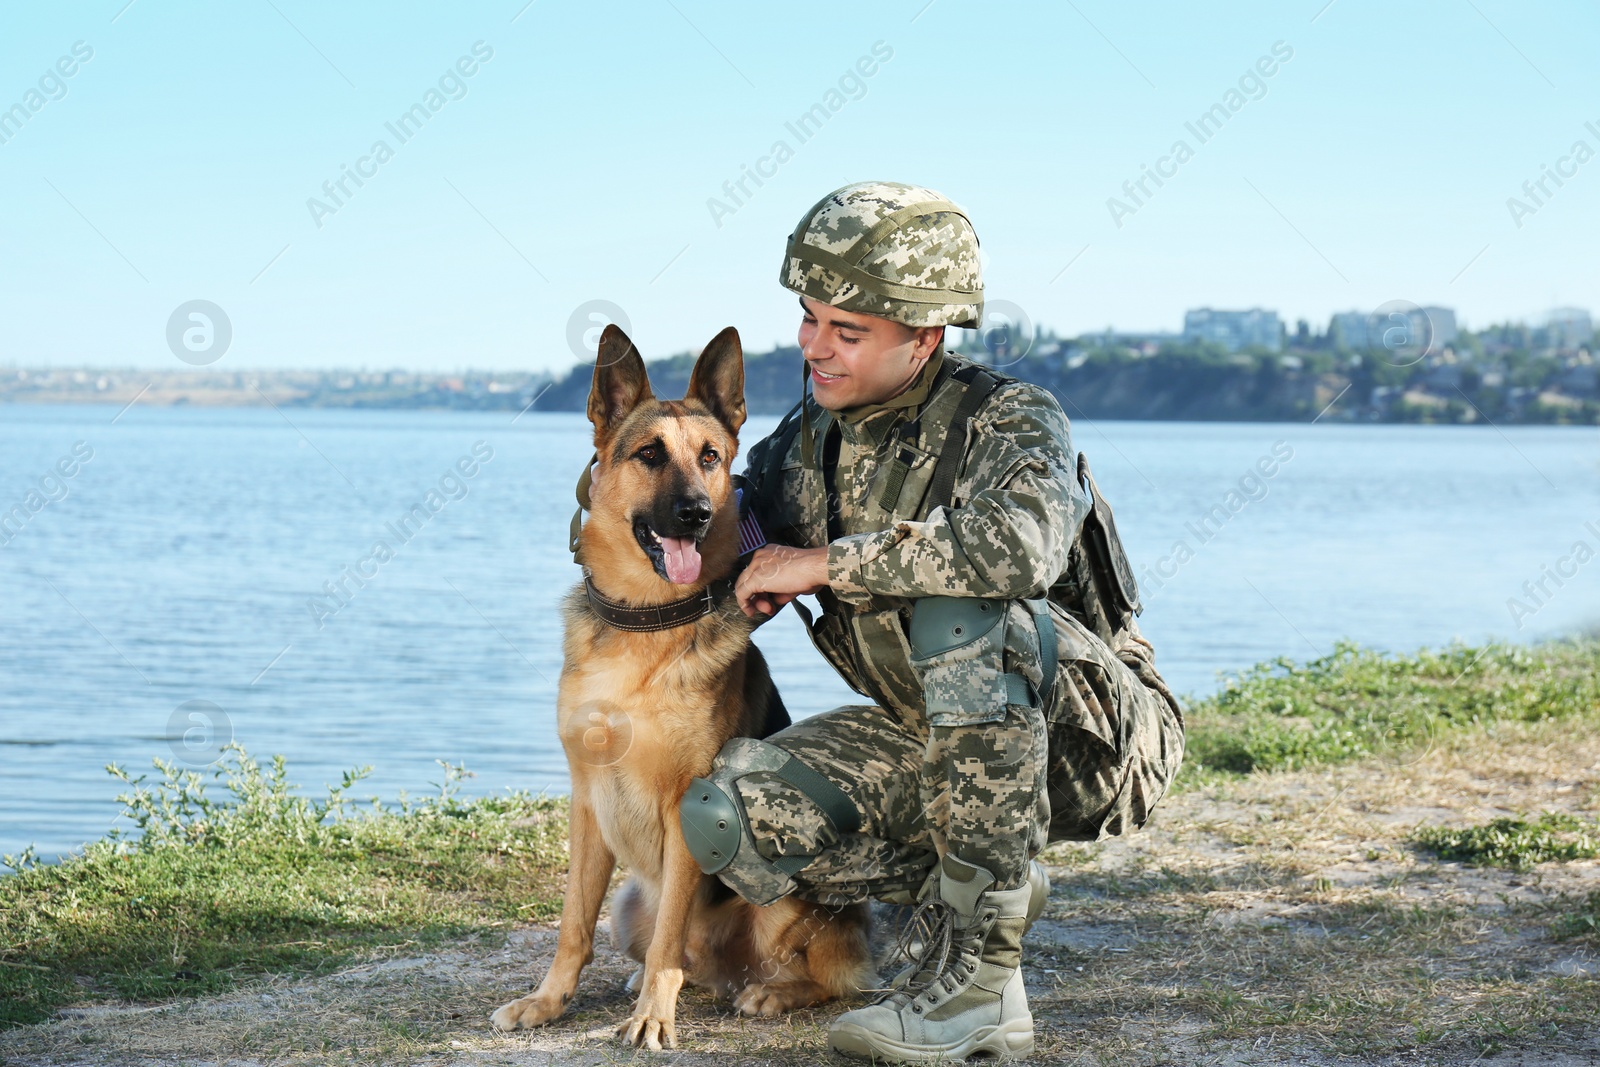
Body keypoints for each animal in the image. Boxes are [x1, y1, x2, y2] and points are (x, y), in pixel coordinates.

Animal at [499, 326, 876, 1049]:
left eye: (710, 457)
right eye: (650, 453)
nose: (697, 513)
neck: (647, 624)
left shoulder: (685, 809)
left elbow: (668, 940)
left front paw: (653, 1014)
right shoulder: (586, 802)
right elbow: (572, 923)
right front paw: (549, 999)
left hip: (782, 897)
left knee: (829, 973)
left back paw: (770, 991)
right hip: (628, 901)